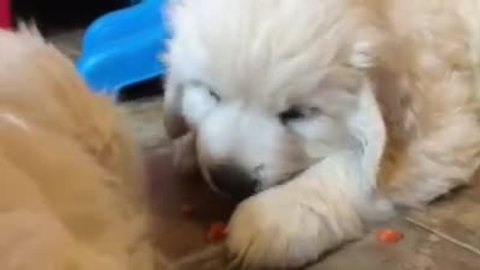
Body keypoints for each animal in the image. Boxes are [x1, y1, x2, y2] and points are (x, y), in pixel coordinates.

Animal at [163, 0, 480, 268]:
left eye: (298, 114)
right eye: (211, 94)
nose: (229, 180)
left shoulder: (440, 130)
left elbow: (357, 167)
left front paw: (271, 219)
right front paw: (186, 145)